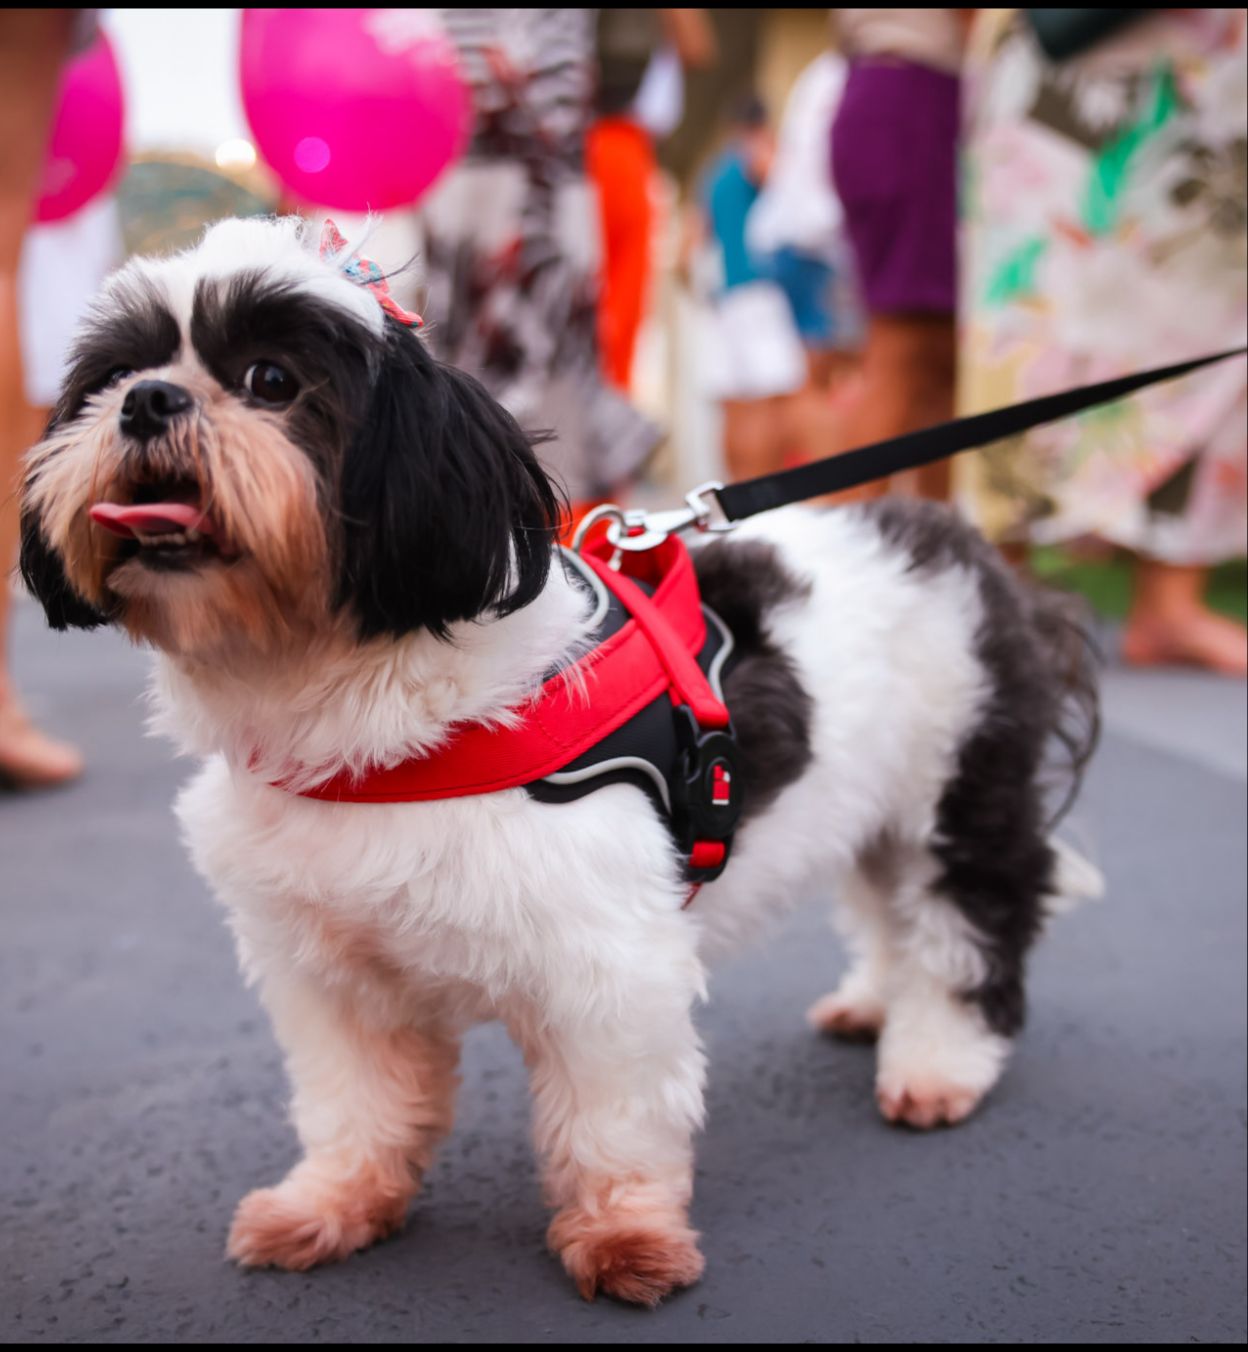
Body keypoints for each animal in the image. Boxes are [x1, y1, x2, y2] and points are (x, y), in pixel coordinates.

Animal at [17, 216, 1092, 1303]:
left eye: (271, 379)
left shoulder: (605, 964)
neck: (363, 715)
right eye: (118, 374)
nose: (148, 401)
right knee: (886, 904)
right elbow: (355, 1102)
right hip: (874, 802)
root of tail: (967, 549)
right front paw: (335, 1202)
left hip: (958, 785)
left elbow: (611, 1121)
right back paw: (876, 1000)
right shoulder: (333, 973)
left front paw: (624, 1236)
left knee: (967, 922)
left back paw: (939, 1059)